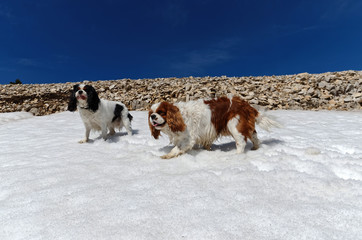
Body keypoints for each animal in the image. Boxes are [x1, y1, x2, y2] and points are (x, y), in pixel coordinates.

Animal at [148, 95, 278, 159]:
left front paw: (166, 156)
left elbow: (176, 149)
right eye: (151, 113)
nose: (153, 116)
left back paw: (236, 156)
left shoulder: (188, 139)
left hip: (234, 125)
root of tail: (245, 104)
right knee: (254, 136)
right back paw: (256, 148)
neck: (180, 116)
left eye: (161, 112)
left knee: (241, 142)